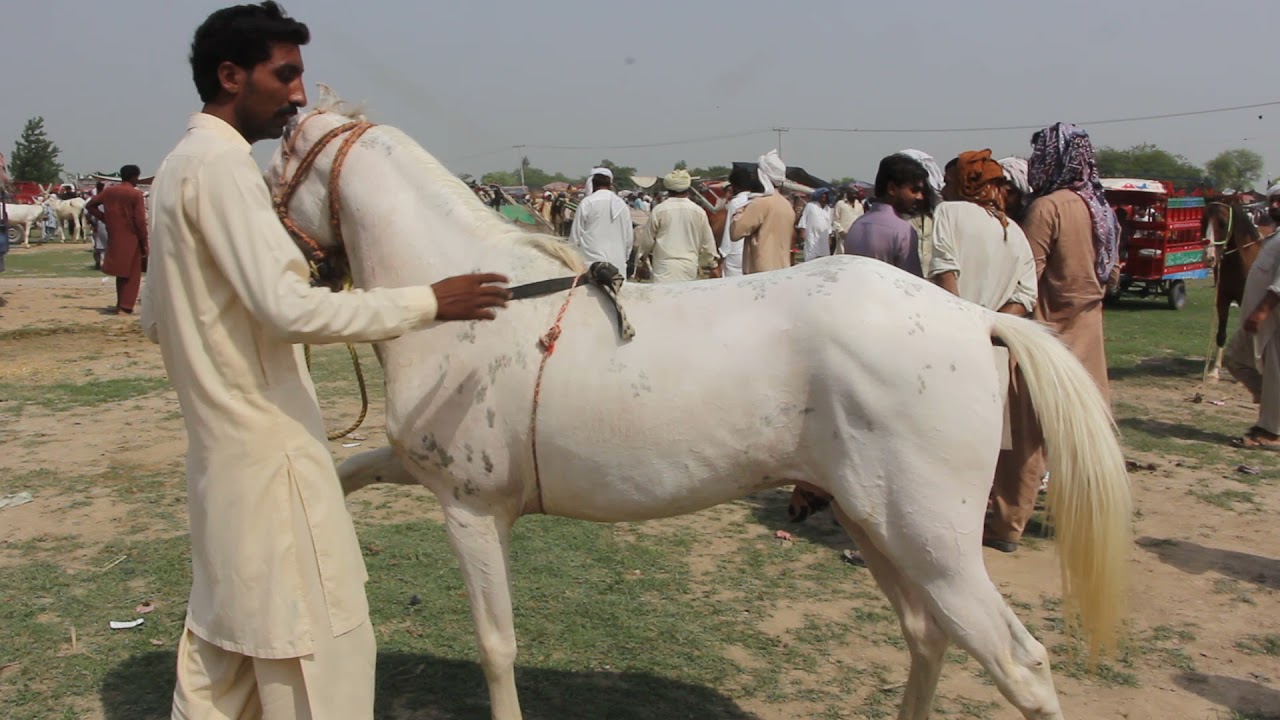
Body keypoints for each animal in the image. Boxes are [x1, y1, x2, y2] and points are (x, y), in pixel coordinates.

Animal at [268, 86, 1132, 720]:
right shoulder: (430, 474)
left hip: (933, 542)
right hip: (878, 523)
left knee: (1020, 664)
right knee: (928, 638)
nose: (286, 264)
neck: (477, 304)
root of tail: (977, 319)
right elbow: (347, 471)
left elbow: (495, 647)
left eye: (278, 163)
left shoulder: (471, 509)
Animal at [1202, 202, 1266, 380]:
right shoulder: (1222, 299)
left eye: (1223, 223)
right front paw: (1215, 371)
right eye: (1203, 221)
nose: (1209, 257)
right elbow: (1221, 333)